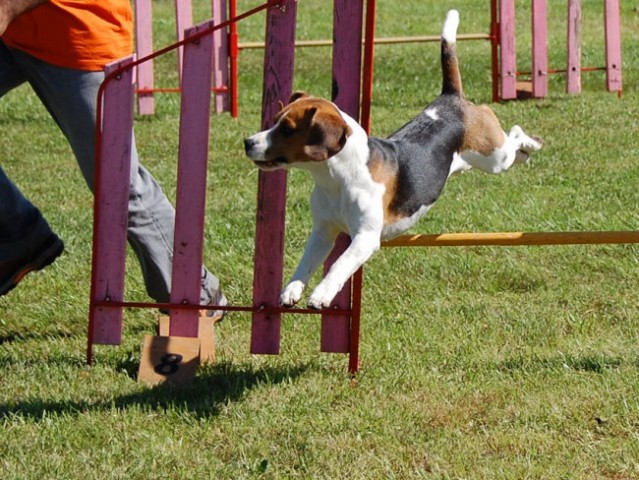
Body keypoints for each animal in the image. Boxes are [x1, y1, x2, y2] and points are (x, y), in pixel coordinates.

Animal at [242, 11, 544, 310]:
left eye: (287, 129)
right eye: (275, 120)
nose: (248, 142)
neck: (336, 178)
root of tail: (450, 99)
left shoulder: (364, 238)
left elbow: (339, 265)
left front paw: (322, 294)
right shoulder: (323, 232)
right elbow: (305, 263)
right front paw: (291, 290)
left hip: (494, 156)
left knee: (515, 132)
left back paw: (531, 144)